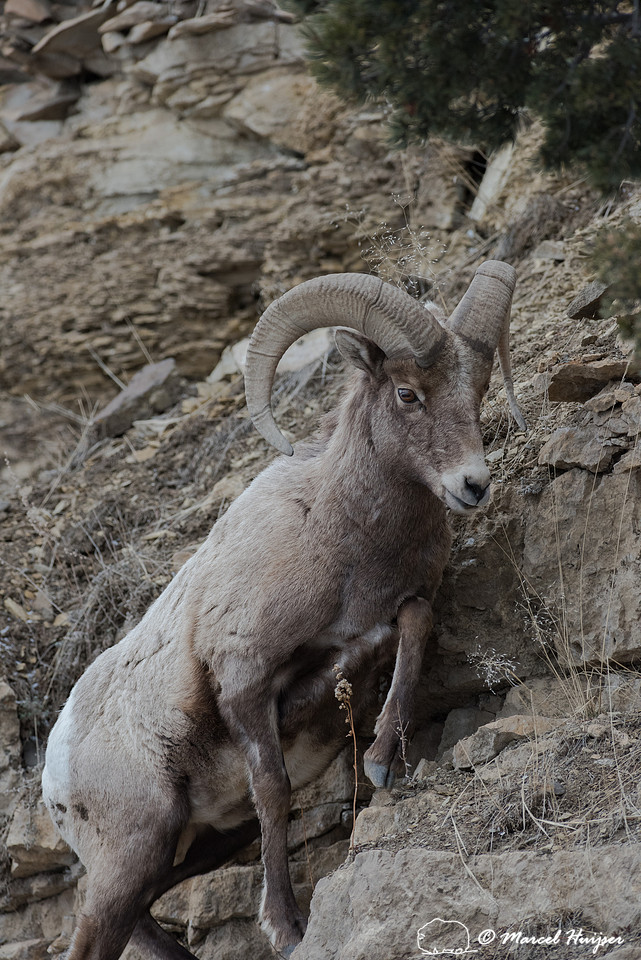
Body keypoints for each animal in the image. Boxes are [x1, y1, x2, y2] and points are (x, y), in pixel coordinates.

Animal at [42, 261, 523, 960]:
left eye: (480, 389)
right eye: (407, 393)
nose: (473, 486)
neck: (336, 532)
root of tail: (54, 774)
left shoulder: (375, 627)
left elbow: (414, 625)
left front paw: (381, 759)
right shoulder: (245, 682)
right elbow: (274, 791)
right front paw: (286, 926)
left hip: (193, 849)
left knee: (142, 917)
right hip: (135, 850)